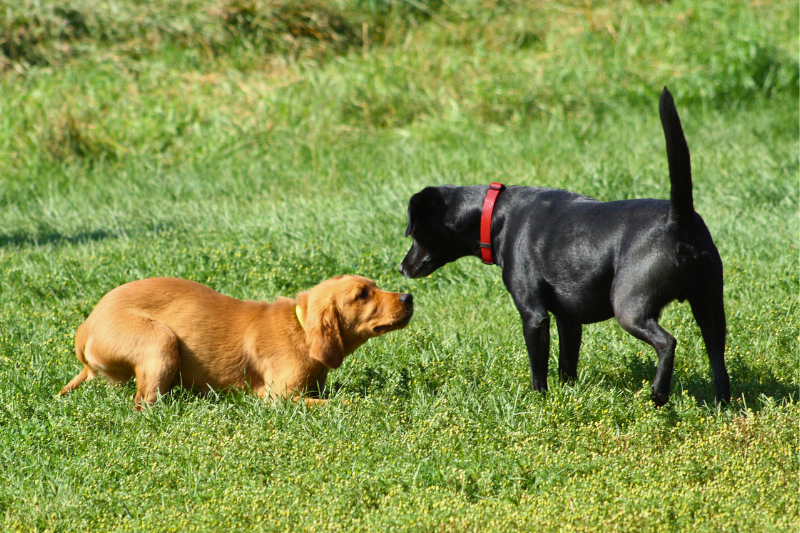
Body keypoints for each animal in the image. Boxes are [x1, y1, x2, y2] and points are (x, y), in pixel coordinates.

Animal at [59, 274, 416, 408]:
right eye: (362, 294)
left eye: (374, 285)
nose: (408, 296)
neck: (300, 328)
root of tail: (86, 327)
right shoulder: (279, 397)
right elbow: (340, 402)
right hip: (160, 343)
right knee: (144, 402)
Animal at [400, 88, 732, 404]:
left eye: (414, 232)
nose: (402, 267)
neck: (494, 214)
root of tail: (678, 219)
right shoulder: (569, 320)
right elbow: (566, 365)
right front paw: (568, 397)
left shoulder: (534, 316)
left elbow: (539, 370)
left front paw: (539, 401)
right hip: (710, 308)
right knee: (717, 357)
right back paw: (722, 403)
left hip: (629, 306)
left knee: (667, 343)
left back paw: (659, 394)